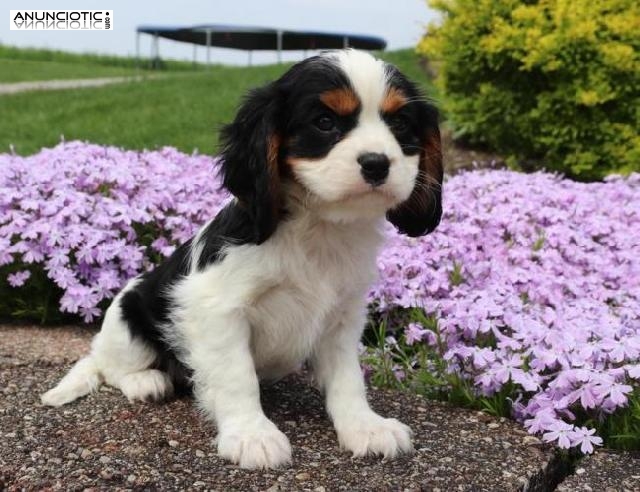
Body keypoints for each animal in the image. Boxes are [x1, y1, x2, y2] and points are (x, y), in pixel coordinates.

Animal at [42, 49, 442, 468]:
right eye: (324, 122)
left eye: (400, 123)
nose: (377, 163)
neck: (319, 227)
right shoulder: (219, 311)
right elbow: (238, 377)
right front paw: (252, 435)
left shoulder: (343, 318)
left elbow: (348, 379)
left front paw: (365, 426)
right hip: (128, 318)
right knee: (107, 364)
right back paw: (145, 380)